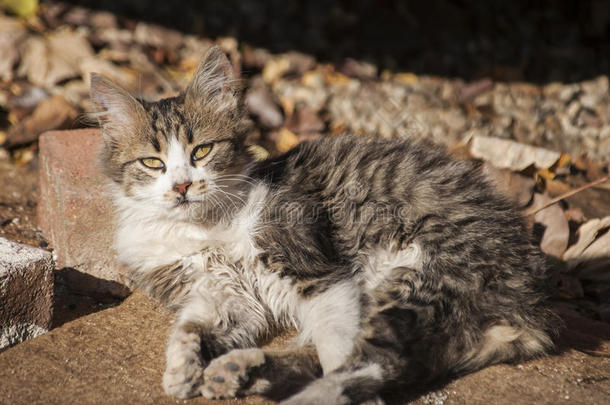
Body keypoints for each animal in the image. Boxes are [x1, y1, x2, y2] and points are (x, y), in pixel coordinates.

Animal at [90, 45, 556, 402]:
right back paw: (237, 372)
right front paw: (181, 370)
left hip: (418, 278)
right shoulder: (224, 298)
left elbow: (335, 344)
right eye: (153, 163)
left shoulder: (317, 271)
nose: (183, 186)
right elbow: (189, 327)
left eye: (202, 151)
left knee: (373, 363)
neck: (202, 229)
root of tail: (528, 304)